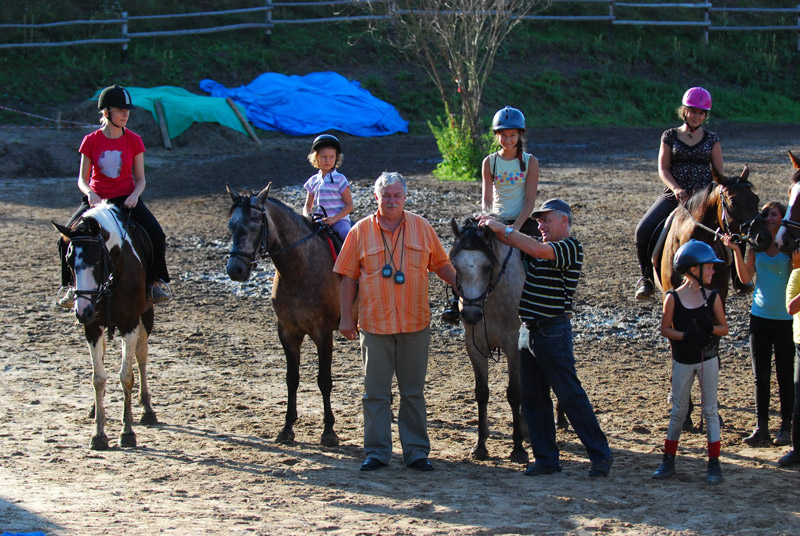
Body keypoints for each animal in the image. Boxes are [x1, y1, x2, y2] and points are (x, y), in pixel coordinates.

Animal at [53, 203, 158, 450]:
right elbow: (98, 378)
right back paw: (94, 409)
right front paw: (99, 433)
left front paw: (127, 431)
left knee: (141, 357)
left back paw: (147, 410)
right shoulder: (92, 327)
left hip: (146, 315)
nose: (82, 311)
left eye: (97, 261)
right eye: (68, 261)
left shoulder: (129, 323)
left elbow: (126, 376)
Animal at [223, 182, 342, 446]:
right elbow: (292, 379)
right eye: (231, 226)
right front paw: (287, 428)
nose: (235, 270)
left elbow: (324, 380)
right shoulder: (288, 332)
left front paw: (329, 431)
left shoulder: (323, 333)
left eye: (255, 226)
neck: (300, 267)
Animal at [450, 216, 532, 462]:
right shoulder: (475, 345)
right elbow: (482, 393)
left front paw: (518, 449)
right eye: (455, 265)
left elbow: (514, 393)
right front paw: (480, 446)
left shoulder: (514, 345)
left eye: (487, 266)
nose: (470, 314)